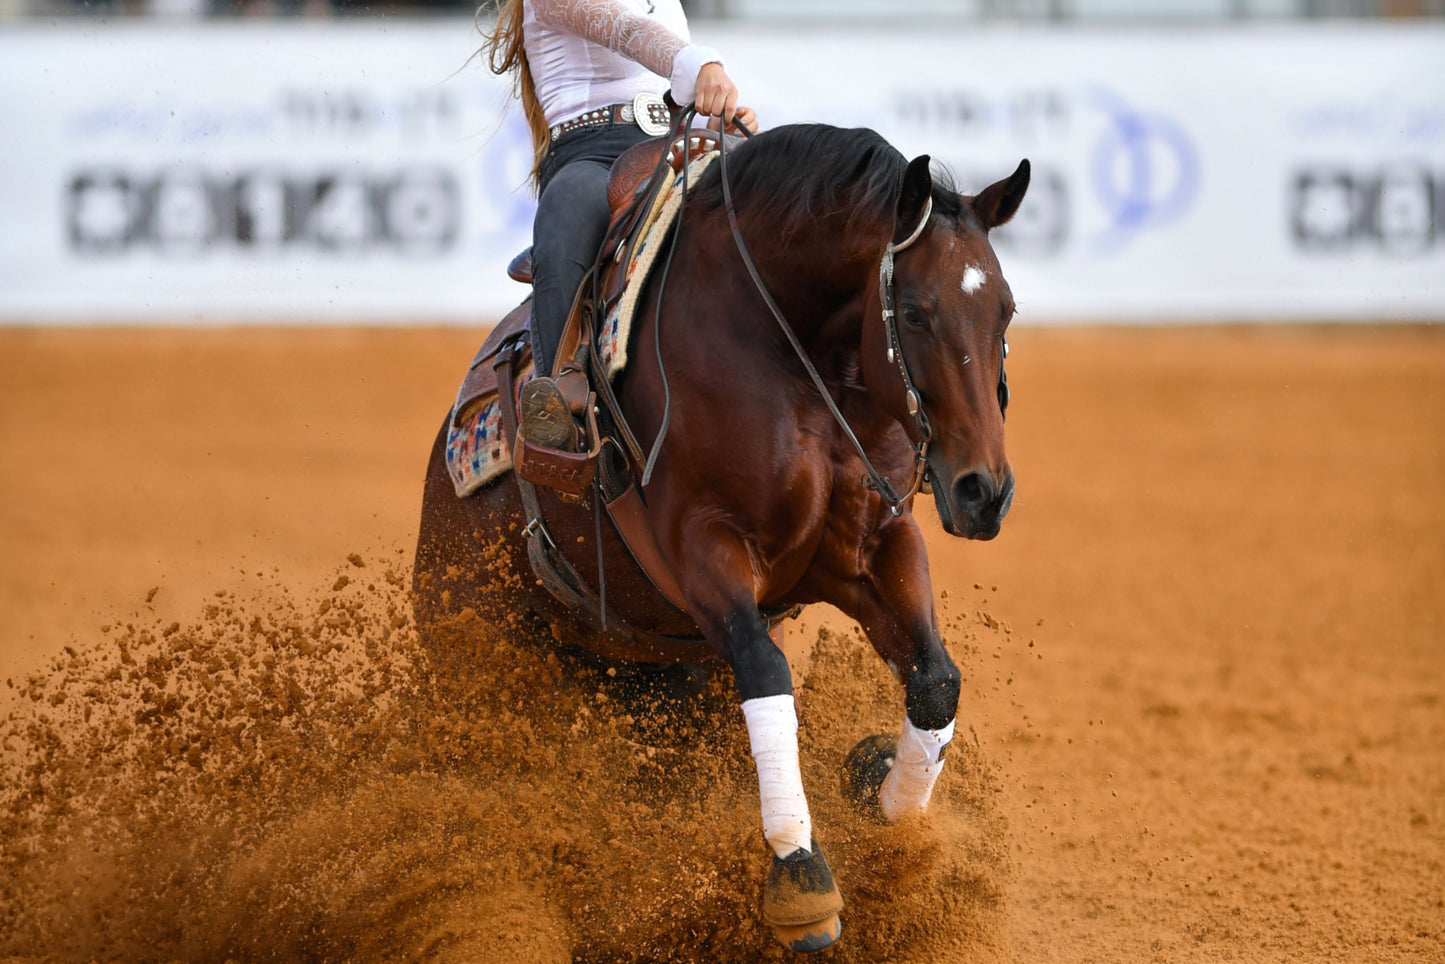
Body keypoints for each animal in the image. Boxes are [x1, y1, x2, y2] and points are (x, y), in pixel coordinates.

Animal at [413, 124, 1034, 953]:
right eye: (914, 312)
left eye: (1005, 311)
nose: (982, 491)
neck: (788, 349)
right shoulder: (704, 552)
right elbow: (767, 674)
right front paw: (801, 876)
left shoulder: (875, 546)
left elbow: (935, 681)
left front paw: (884, 806)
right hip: (474, 658)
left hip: (667, 680)